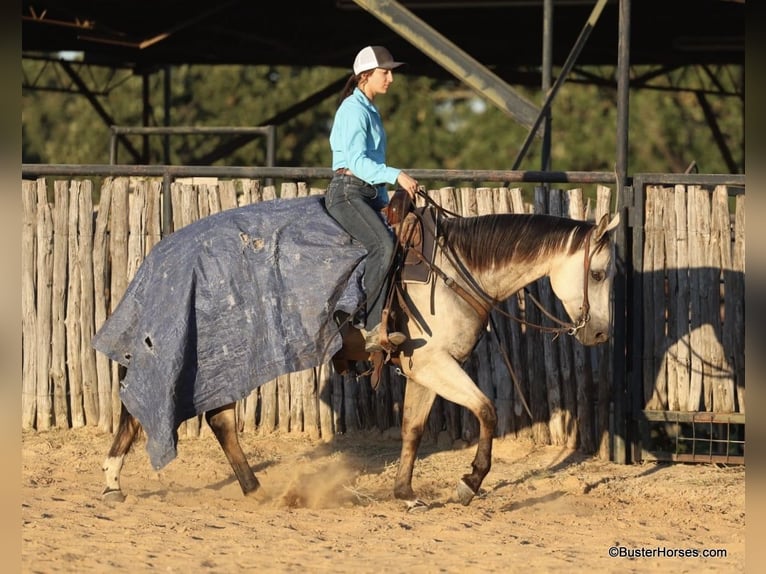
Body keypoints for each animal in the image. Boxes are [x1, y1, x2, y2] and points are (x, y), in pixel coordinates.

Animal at [99, 194, 620, 508]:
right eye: (598, 273)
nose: (600, 335)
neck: (456, 269)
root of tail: (162, 256)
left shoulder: (422, 368)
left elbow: (412, 429)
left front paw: (405, 490)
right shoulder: (436, 363)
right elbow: (488, 411)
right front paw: (469, 482)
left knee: (215, 419)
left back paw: (245, 487)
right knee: (185, 412)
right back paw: (117, 479)